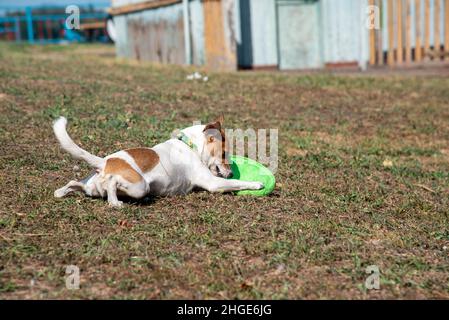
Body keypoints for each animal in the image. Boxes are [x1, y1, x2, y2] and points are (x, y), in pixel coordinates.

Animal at [52, 116, 262, 206]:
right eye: (225, 154)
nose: (231, 171)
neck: (191, 146)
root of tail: (104, 162)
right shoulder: (214, 183)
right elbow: (236, 183)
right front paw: (257, 184)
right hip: (139, 185)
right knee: (112, 184)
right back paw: (116, 203)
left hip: (92, 188)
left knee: (74, 183)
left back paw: (61, 192)